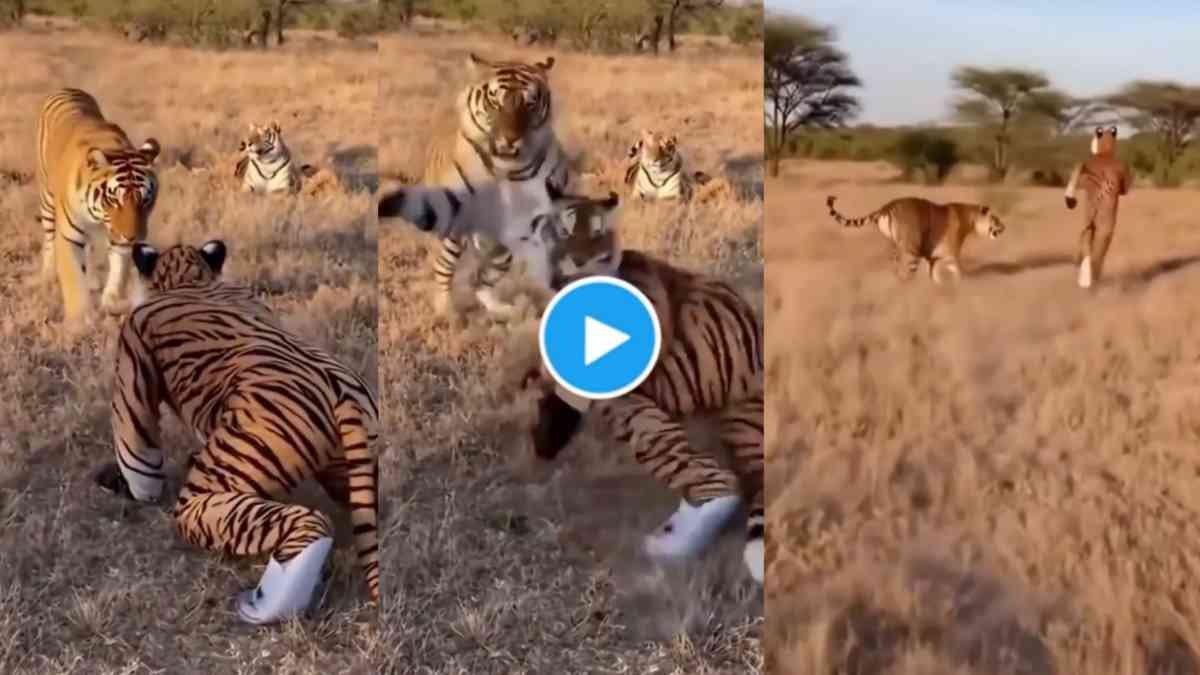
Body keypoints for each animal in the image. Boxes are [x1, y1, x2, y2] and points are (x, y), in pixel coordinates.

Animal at [36, 88, 160, 324]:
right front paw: (80, 321)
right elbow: (74, 281)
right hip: (47, 200)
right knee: (48, 239)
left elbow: (118, 273)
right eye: (114, 200)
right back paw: (47, 277)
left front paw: (112, 304)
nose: (133, 237)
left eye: (144, 199)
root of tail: (67, 88)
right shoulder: (68, 237)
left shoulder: (119, 242)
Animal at [93, 239, 380, 625]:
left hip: (212, 487)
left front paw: (127, 486)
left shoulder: (132, 362)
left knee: (307, 524)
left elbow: (136, 453)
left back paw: (261, 606)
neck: (190, 279)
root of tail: (341, 395)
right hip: (350, 466)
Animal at [420, 52, 571, 319]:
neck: (506, 168)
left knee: (484, 280)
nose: (510, 139)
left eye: (530, 103)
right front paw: (446, 310)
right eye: (494, 101)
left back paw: (502, 309)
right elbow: (445, 267)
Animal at [826, 195, 1005, 284]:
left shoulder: (932, 258)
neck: (970, 218)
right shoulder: (949, 256)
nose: (1003, 227)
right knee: (906, 278)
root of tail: (887, 205)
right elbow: (958, 273)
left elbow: (935, 277)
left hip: (895, 248)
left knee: (896, 273)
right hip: (911, 253)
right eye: (995, 219)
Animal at [1063, 125, 1132, 288]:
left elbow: (1078, 167)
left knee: (1088, 250)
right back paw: (1093, 280)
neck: (1105, 153)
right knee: (1097, 256)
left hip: (1089, 226)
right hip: (1104, 229)